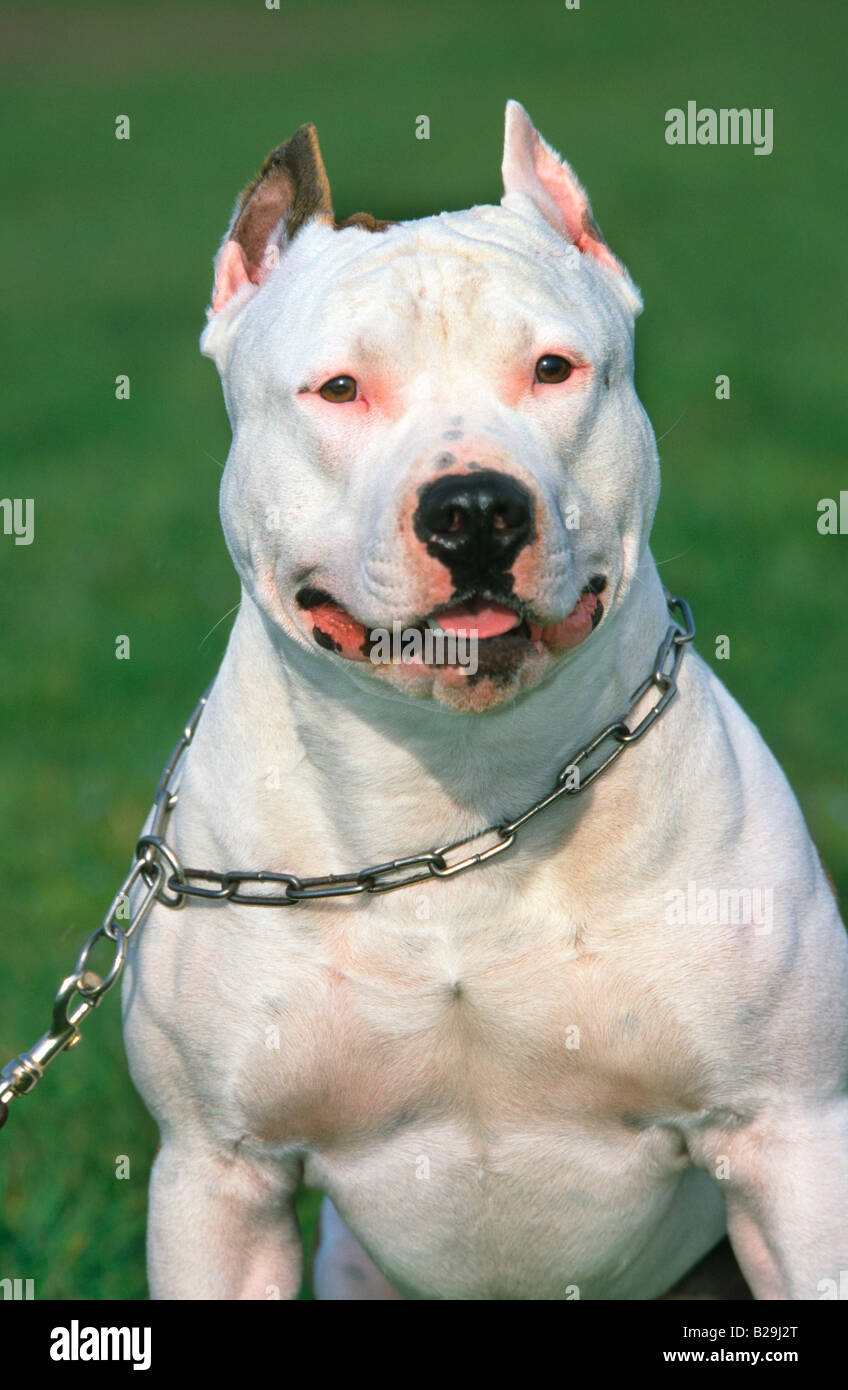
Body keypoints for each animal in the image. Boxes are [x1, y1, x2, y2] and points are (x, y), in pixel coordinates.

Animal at [120, 102, 845, 1295]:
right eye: (339, 389)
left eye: (553, 369)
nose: (473, 509)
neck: (458, 806)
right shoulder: (218, 1179)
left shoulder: (792, 1142)